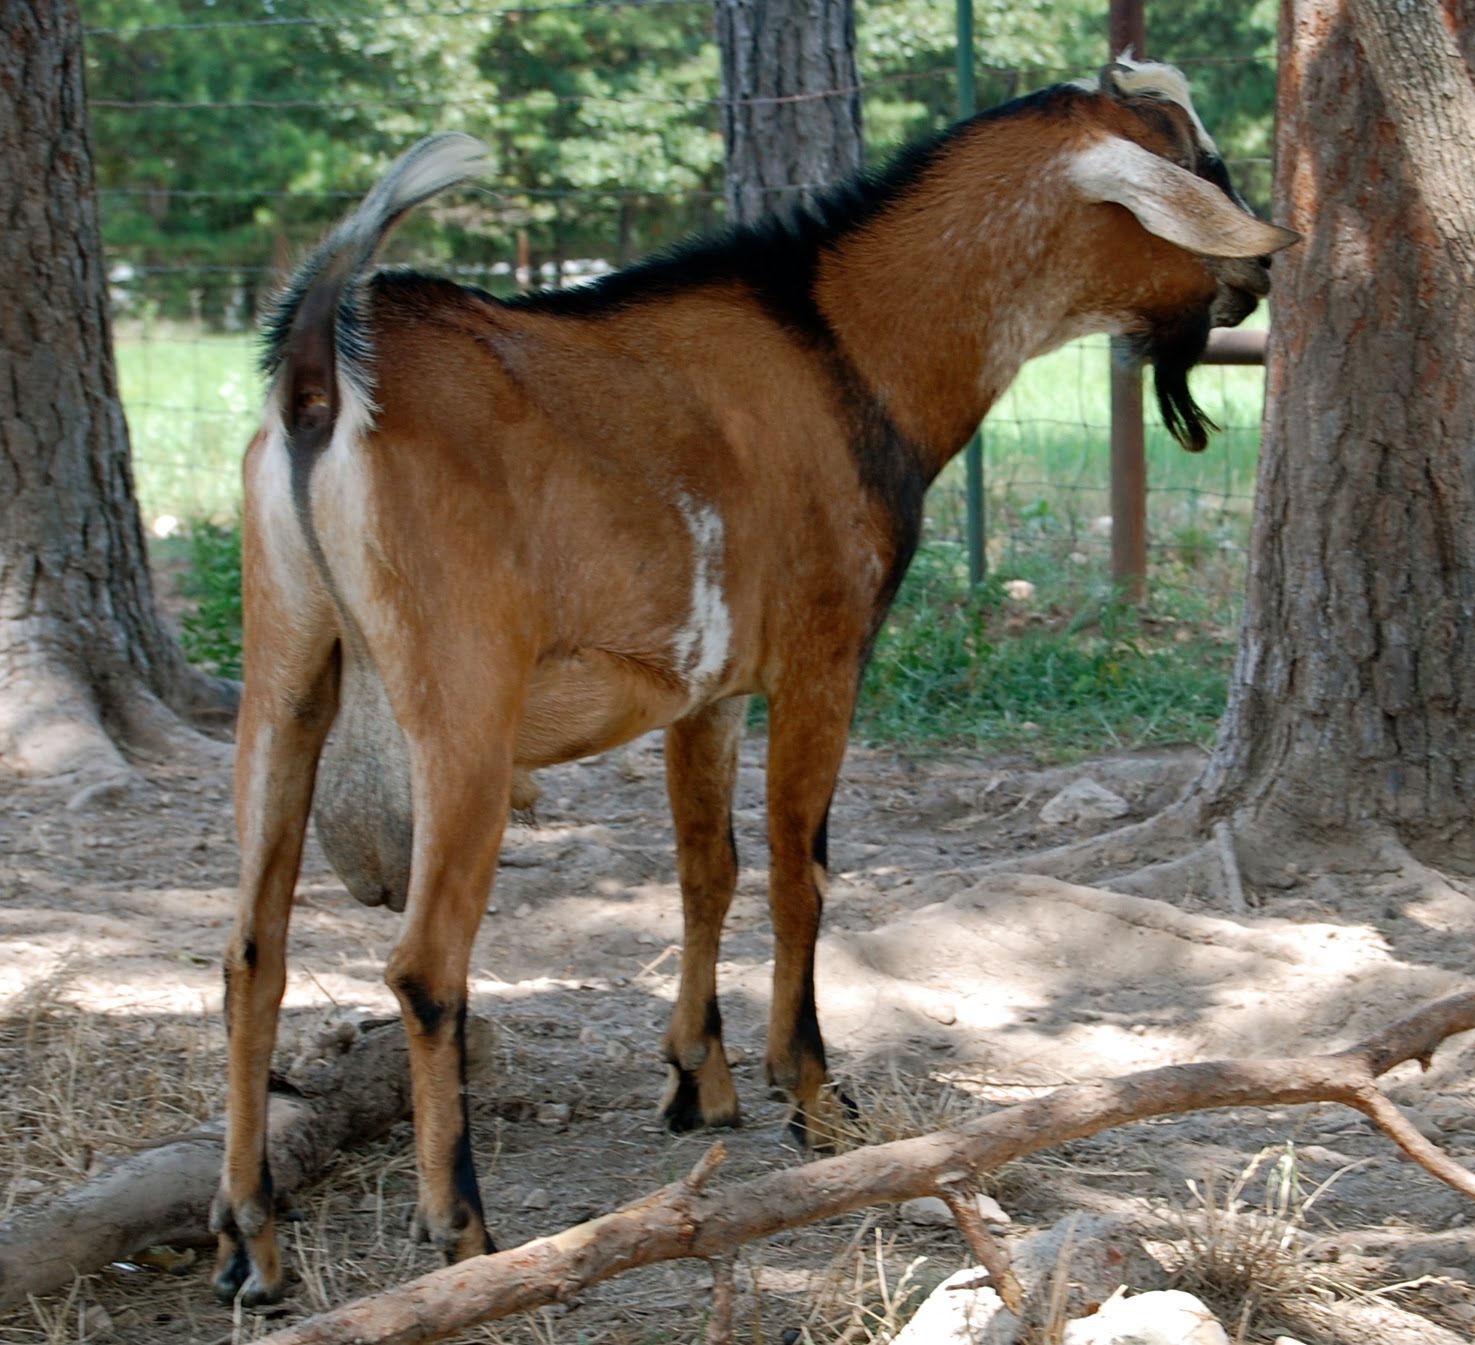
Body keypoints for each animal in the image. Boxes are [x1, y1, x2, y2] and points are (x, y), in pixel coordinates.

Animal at [211, 57, 1296, 1305]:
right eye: (1192, 162)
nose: (1259, 270)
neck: (846, 347)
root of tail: (319, 373)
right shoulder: (825, 652)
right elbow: (798, 869)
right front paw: (811, 1094)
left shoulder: (707, 688)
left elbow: (706, 868)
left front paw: (697, 1080)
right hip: (460, 706)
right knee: (425, 965)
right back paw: (469, 1238)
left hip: (285, 670)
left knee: (250, 951)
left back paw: (249, 1240)